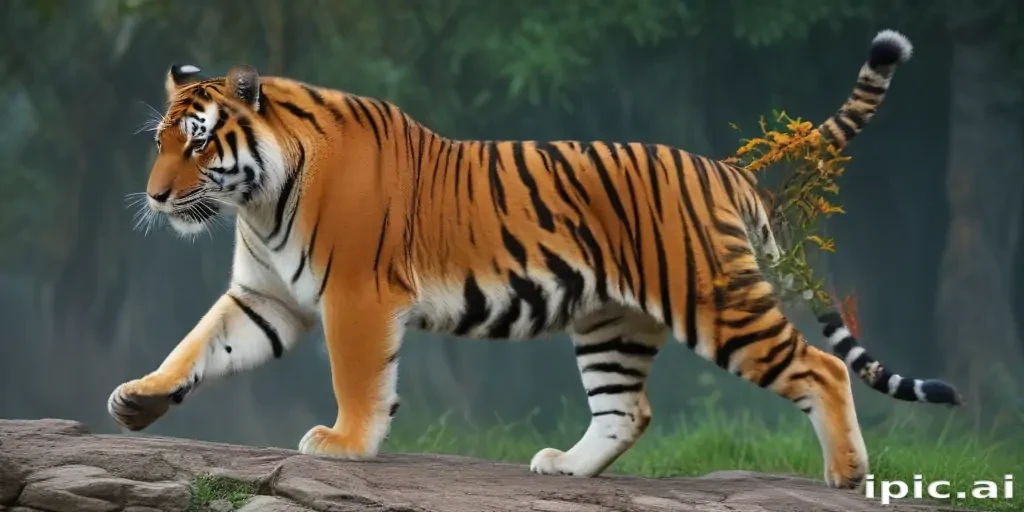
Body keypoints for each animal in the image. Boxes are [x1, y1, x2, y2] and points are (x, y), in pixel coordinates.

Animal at [108, 28, 960, 490]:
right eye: (160, 142)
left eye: (198, 144)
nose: (153, 196)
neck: (259, 197)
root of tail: (725, 168)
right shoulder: (266, 298)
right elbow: (196, 345)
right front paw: (139, 399)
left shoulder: (357, 295)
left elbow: (358, 379)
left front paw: (344, 443)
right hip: (613, 323)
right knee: (627, 410)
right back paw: (566, 467)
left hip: (715, 301)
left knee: (823, 367)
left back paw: (847, 475)